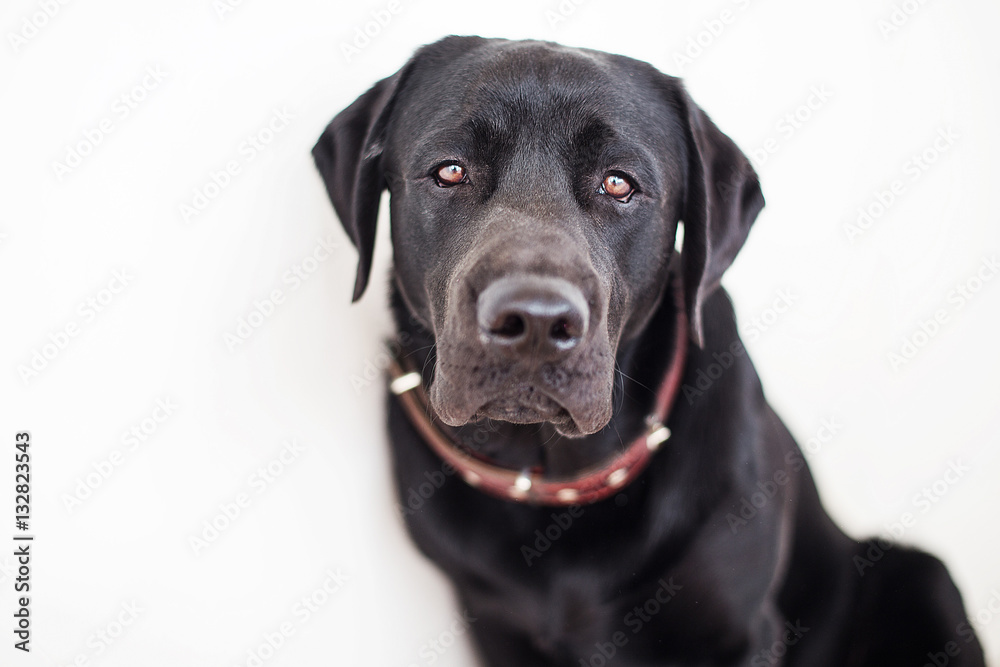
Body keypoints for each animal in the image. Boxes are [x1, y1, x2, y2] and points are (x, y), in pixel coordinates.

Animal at [316, 36, 988, 667]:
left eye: (619, 183)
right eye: (450, 171)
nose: (534, 321)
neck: (560, 478)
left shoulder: (742, 631)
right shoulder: (495, 626)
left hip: (924, 576)